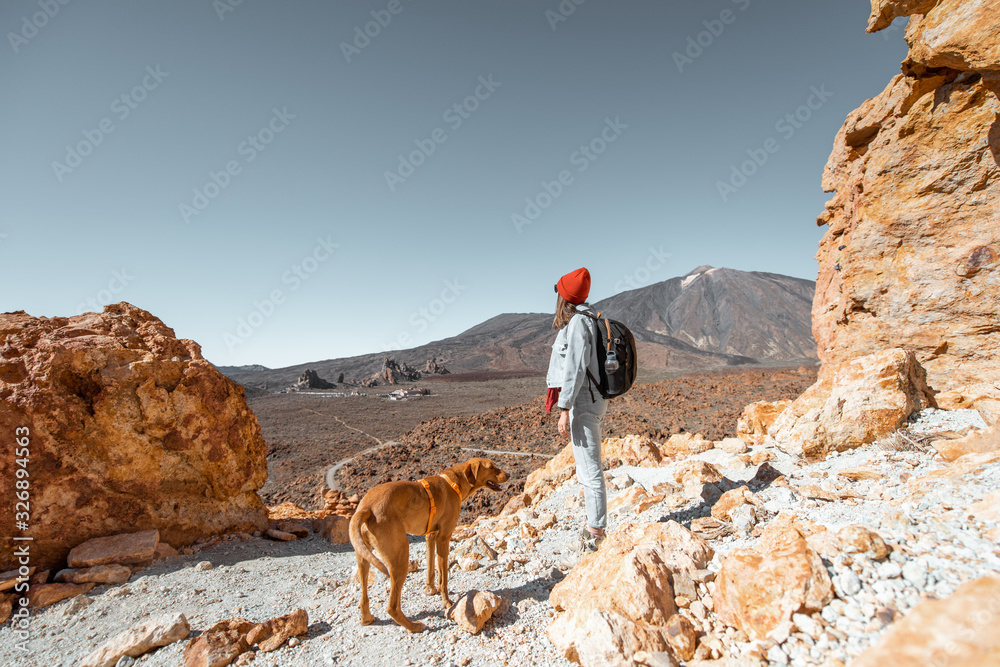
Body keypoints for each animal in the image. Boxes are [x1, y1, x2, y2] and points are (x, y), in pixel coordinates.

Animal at [350, 456, 508, 636]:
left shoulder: (430, 536)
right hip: (400, 557)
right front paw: (447, 602)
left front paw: (430, 589)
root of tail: (365, 508)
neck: (455, 481)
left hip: (363, 556)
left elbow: (431, 569)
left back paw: (366, 618)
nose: (509, 475)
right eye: (492, 467)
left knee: (363, 597)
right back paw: (414, 626)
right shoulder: (444, 538)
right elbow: (443, 577)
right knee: (392, 607)